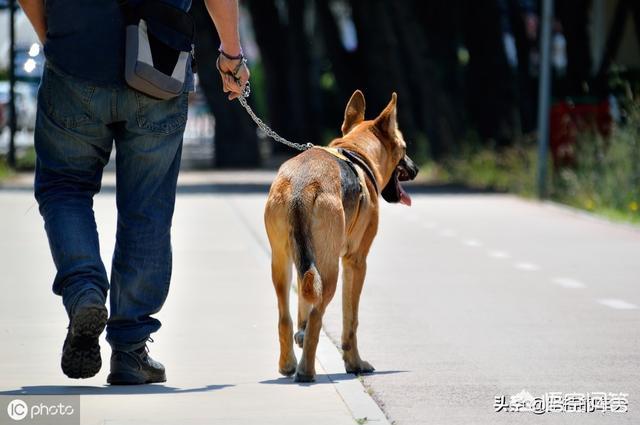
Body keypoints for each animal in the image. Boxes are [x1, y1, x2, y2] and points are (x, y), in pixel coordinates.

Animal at [264, 89, 420, 380]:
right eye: (404, 148)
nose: (416, 169)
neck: (357, 150)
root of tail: (302, 184)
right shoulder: (356, 262)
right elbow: (352, 320)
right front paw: (354, 363)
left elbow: (302, 311)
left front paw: (301, 337)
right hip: (330, 273)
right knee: (317, 317)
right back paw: (306, 371)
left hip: (282, 265)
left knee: (285, 316)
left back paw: (288, 364)